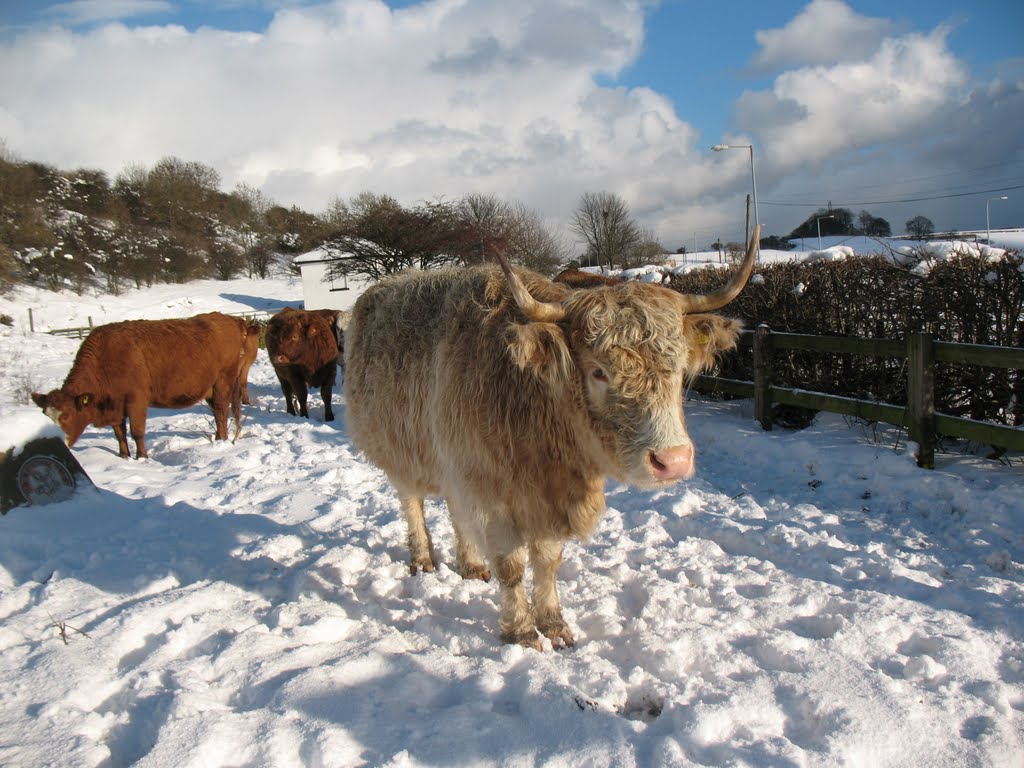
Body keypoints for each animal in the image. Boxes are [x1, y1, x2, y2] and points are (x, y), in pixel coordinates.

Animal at [30, 311, 254, 460]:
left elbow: (136, 431)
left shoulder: (136, 400)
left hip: (223, 381)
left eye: (66, 415)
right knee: (219, 411)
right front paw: (123, 456)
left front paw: (142, 457)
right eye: (45, 415)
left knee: (221, 409)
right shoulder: (116, 405)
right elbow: (119, 432)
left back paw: (222, 438)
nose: (59, 441)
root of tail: (231, 319)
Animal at [344, 227, 761, 651]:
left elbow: (547, 561)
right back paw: (423, 559)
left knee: (456, 512)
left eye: (677, 367)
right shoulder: (489, 492)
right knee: (412, 502)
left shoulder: (538, 496)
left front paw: (554, 623)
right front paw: (522, 631)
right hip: (400, 450)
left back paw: (471, 564)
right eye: (598, 371)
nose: (672, 460)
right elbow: (511, 566)